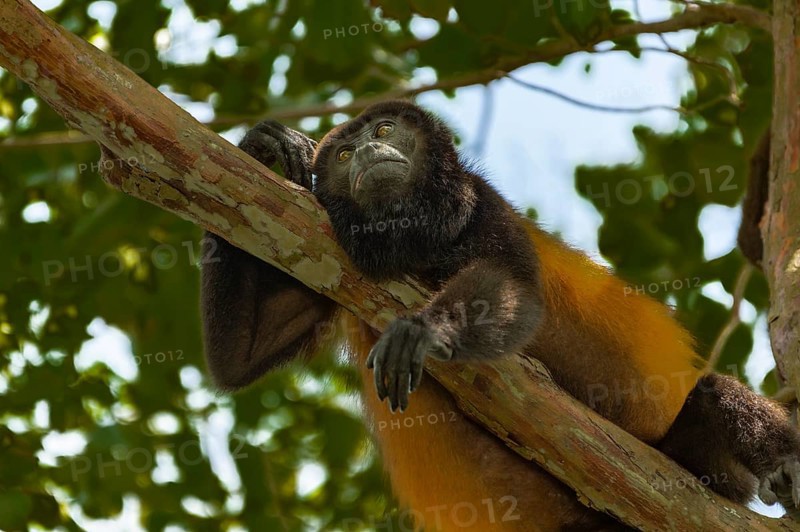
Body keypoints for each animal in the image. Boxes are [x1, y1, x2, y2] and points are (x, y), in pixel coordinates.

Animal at [201, 100, 800, 531]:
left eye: (386, 128)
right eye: (344, 156)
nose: (369, 148)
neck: (411, 243)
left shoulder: (478, 201)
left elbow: (514, 291)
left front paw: (425, 329)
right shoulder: (325, 248)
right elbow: (240, 357)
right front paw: (262, 146)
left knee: (715, 396)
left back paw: (784, 468)